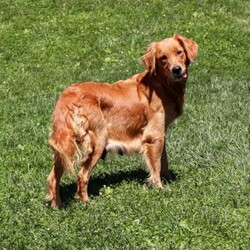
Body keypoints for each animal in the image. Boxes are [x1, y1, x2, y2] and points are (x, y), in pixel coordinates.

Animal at [45, 34, 197, 208]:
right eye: (163, 58)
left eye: (179, 52)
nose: (177, 69)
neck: (162, 83)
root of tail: (68, 95)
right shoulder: (154, 135)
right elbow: (156, 166)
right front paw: (160, 189)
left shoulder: (160, 134)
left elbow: (163, 162)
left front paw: (169, 180)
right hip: (98, 142)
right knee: (82, 175)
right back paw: (87, 203)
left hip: (64, 145)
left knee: (52, 177)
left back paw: (57, 205)